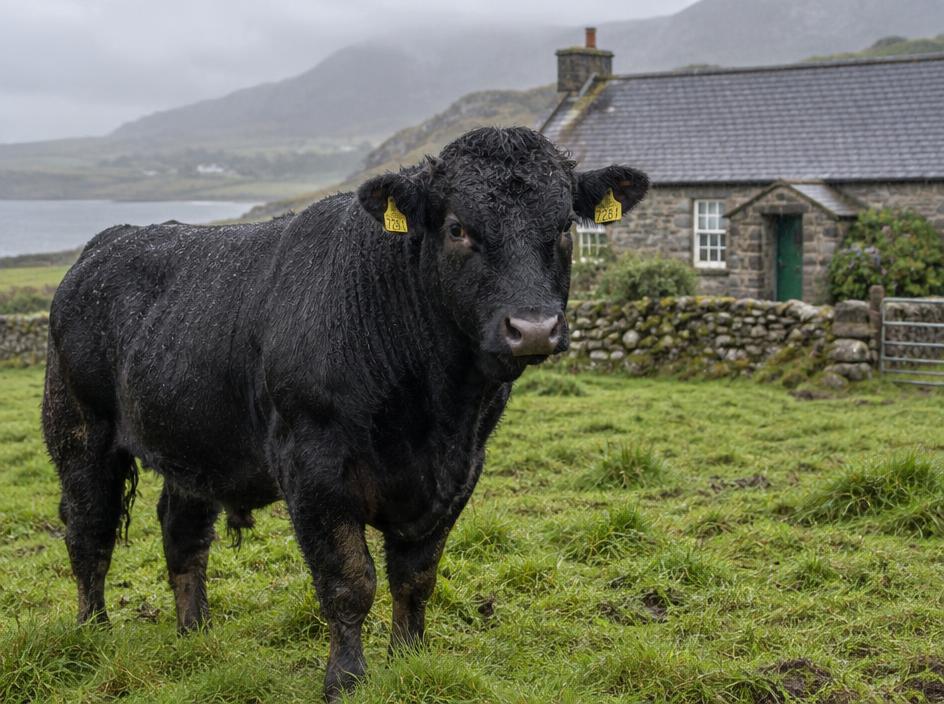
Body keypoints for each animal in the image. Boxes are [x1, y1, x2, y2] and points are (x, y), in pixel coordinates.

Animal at [42, 126, 648, 700]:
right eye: (457, 228)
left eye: (565, 228)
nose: (534, 328)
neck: (433, 410)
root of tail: (104, 244)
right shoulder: (312, 466)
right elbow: (350, 579)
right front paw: (346, 679)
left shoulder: (460, 469)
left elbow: (416, 577)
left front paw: (407, 660)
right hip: (79, 430)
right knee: (89, 531)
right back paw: (93, 632)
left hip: (194, 440)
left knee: (182, 533)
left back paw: (196, 634)